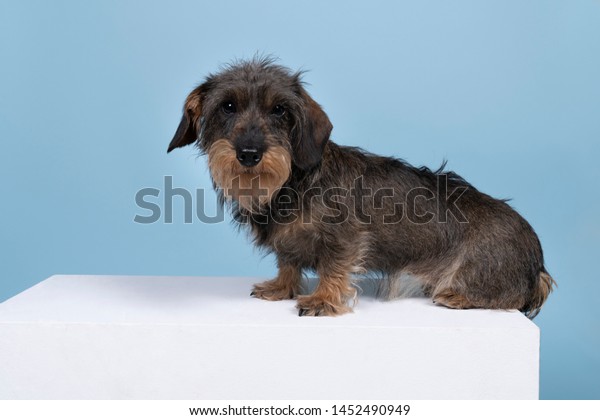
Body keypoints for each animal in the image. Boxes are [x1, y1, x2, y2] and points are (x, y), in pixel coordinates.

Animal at [166, 56, 556, 318]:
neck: (292, 184)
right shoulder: (288, 245)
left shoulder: (345, 238)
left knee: (507, 297)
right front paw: (281, 287)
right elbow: (288, 261)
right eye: (227, 106)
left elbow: (334, 266)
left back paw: (459, 296)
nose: (249, 153)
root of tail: (538, 264)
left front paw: (323, 299)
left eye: (279, 110)